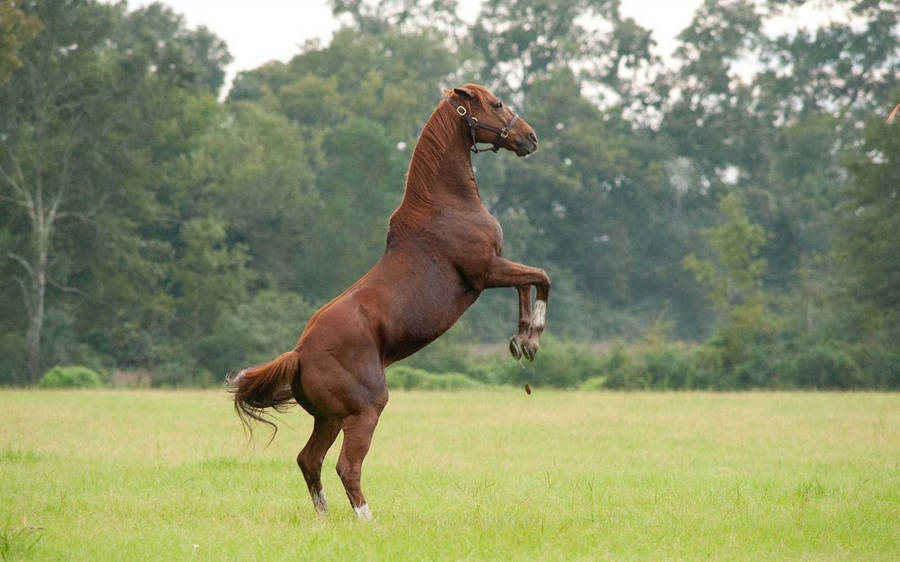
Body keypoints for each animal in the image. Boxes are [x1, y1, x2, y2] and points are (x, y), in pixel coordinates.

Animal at [228, 83, 550, 520]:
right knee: (346, 466)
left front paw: (522, 341)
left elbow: (527, 286)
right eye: (497, 104)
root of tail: (298, 353)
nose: (530, 137)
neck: (447, 204)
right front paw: (531, 336)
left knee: (309, 460)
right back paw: (367, 521)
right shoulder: (486, 271)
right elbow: (540, 278)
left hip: (329, 417)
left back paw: (324, 519)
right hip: (364, 411)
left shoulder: (494, 271)